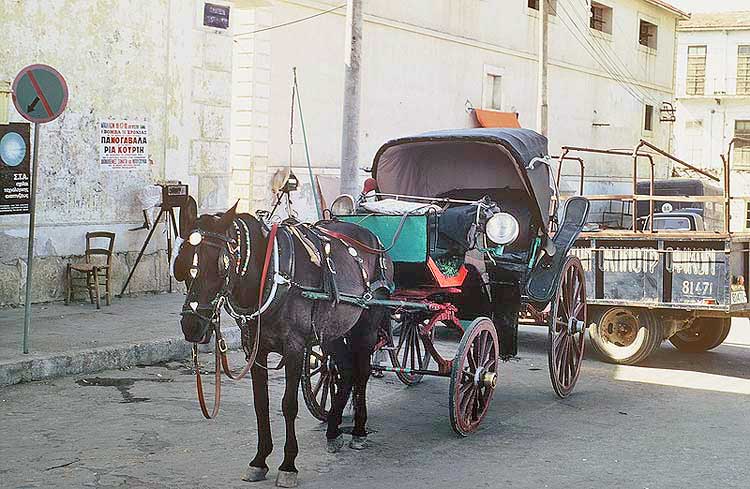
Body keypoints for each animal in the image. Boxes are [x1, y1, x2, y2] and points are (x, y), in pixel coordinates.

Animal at [171, 202, 394, 484]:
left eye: (221, 265)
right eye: (182, 263)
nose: (191, 326)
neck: (271, 274)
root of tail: (373, 238)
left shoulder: (294, 349)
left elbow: (289, 405)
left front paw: (288, 465)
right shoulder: (254, 351)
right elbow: (261, 404)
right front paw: (259, 460)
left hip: (366, 327)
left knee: (361, 373)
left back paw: (359, 431)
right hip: (331, 333)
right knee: (345, 371)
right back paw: (333, 431)